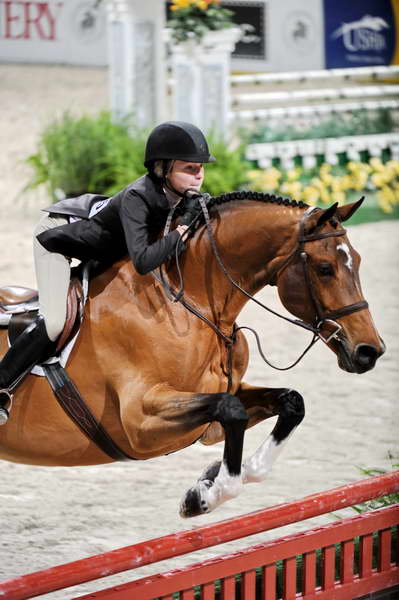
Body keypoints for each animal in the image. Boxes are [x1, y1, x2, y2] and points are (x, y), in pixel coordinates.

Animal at [0, 193, 388, 516]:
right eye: (325, 269)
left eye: (357, 261)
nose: (370, 351)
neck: (193, 305)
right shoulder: (140, 422)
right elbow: (231, 413)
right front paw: (202, 496)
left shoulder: (224, 396)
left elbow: (291, 402)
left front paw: (213, 477)